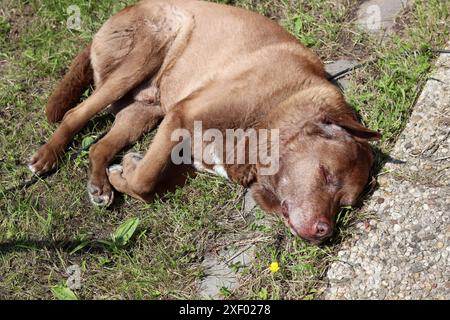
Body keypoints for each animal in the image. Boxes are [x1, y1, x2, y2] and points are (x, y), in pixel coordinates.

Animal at [28, 0, 380, 244]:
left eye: (345, 204)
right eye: (326, 174)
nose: (324, 232)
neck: (275, 111)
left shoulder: (187, 158)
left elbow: (149, 185)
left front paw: (122, 172)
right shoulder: (181, 117)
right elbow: (146, 181)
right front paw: (128, 173)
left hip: (144, 111)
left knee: (100, 145)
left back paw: (100, 185)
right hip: (144, 56)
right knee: (74, 114)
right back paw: (47, 156)